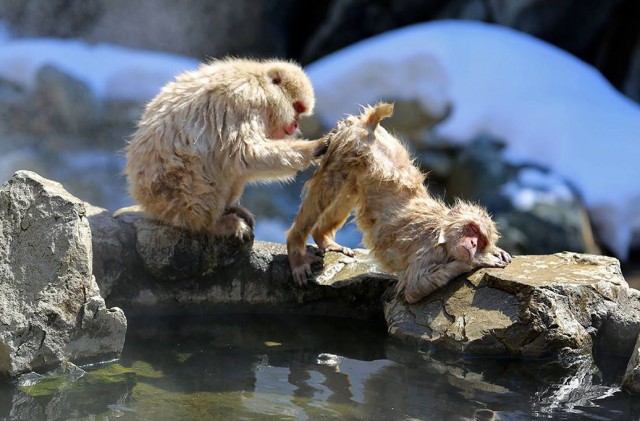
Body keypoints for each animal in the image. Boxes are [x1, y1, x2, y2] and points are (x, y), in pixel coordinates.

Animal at [125, 57, 324, 240]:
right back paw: (216, 224)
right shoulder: (246, 101)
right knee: (203, 169)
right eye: (297, 107)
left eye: (300, 111)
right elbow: (246, 154)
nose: (295, 124)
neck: (262, 87)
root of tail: (147, 201)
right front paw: (314, 148)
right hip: (176, 194)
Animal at [284, 104, 510, 304]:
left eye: (481, 239)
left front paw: (493, 251)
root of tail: (368, 125)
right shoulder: (430, 251)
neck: (442, 232)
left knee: (347, 190)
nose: (473, 244)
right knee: (330, 184)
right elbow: (414, 288)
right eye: (472, 229)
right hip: (348, 144)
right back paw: (296, 248)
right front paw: (479, 260)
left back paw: (321, 237)